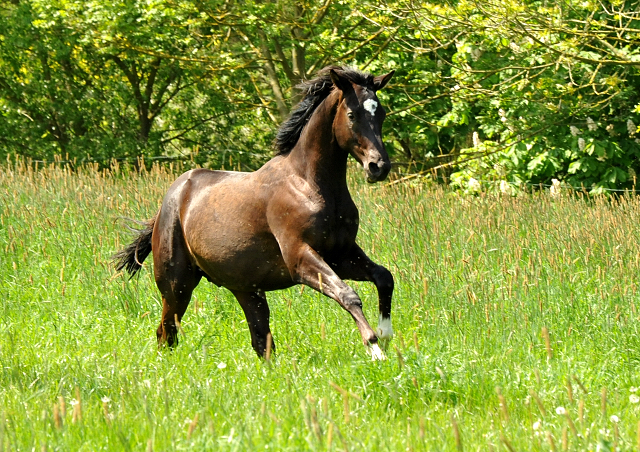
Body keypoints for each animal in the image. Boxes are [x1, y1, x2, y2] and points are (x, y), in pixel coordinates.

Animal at [115, 65, 396, 360]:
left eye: (381, 113)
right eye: (352, 115)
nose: (378, 167)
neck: (309, 185)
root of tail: (167, 204)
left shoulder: (342, 254)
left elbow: (384, 277)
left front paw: (386, 334)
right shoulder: (300, 258)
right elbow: (348, 294)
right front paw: (375, 348)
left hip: (247, 291)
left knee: (261, 341)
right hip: (177, 286)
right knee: (166, 332)